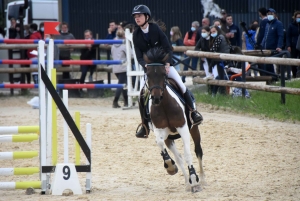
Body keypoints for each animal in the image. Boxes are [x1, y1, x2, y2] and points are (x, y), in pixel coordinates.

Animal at [143, 47, 206, 193]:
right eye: (148, 74)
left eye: (163, 74)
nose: (156, 98)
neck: (164, 105)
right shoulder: (160, 131)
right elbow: (161, 144)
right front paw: (170, 167)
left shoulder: (183, 128)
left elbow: (188, 154)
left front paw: (195, 181)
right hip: (169, 138)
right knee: (178, 157)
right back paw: (187, 183)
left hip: (194, 129)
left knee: (198, 151)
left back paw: (201, 179)